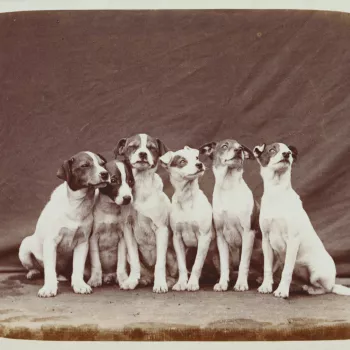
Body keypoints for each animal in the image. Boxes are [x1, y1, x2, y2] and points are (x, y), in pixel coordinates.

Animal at [18, 151, 109, 298]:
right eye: (85, 165)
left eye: (102, 164)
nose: (105, 174)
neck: (77, 205)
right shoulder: (51, 242)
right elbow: (49, 270)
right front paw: (49, 288)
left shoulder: (82, 243)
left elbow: (78, 267)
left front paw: (79, 285)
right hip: (24, 248)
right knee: (39, 268)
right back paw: (34, 273)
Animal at [87, 159, 140, 290]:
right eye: (113, 180)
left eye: (130, 181)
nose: (127, 198)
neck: (110, 210)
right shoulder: (93, 238)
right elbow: (96, 262)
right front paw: (95, 279)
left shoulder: (122, 238)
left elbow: (121, 263)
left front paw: (123, 279)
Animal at [159, 146, 216, 292]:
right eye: (182, 161)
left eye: (196, 158)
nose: (199, 164)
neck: (187, 198)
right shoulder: (177, 238)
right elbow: (182, 265)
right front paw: (181, 283)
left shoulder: (204, 237)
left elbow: (197, 264)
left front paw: (192, 283)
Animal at [254, 142, 350, 298]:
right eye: (272, 150)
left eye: (289, 151)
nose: (286, 154)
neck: (277, 193)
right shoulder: (266, 241)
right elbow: (267, 267)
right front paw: (266, 285)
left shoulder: (292, 240)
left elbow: (287, 271)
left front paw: (282, 291)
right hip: (281, 261)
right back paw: (294, 286)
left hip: (316, 273)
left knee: (325, 289)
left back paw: (310, 289)